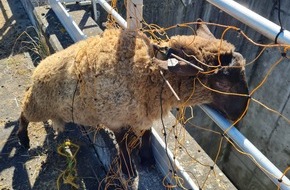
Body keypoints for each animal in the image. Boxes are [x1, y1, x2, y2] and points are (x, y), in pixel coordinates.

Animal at [17, 23, 249, 181]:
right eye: (222, 83)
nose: (241, 115)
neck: (149, 72)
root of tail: (39, 70)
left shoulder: (143, 114)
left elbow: (146, 134)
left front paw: (147, 158)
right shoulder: (115, 117)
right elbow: (122, 144)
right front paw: (129, 170)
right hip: (39, 104)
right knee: (23, 112)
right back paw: (23, 139)